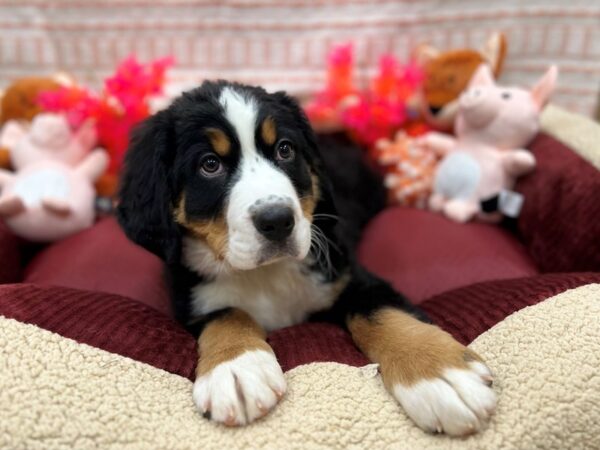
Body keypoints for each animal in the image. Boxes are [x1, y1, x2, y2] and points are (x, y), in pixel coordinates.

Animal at [117, 81, 496, 436]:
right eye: (209, 164)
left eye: (285, 149)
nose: (277, 220)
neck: (265, 276)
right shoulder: (190, 301)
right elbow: (226, 314)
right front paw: (237, 367)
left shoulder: (348, 276)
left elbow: (382, 313)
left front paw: (440, 373)